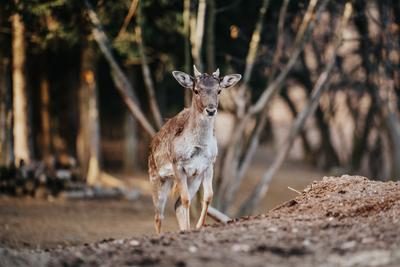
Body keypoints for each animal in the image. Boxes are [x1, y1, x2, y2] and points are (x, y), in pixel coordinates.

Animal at [148, 66, 239, 233]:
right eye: (196, 90)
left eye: (219, 91)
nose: (211, 110)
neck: (199, 147)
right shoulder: (178, 164)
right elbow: (186, 200)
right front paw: (190, 227)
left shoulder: (208, 165)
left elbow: (208, 196)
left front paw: (197, 226)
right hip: (157, 178)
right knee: (159, 215)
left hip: (193, 178)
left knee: (176, 204)